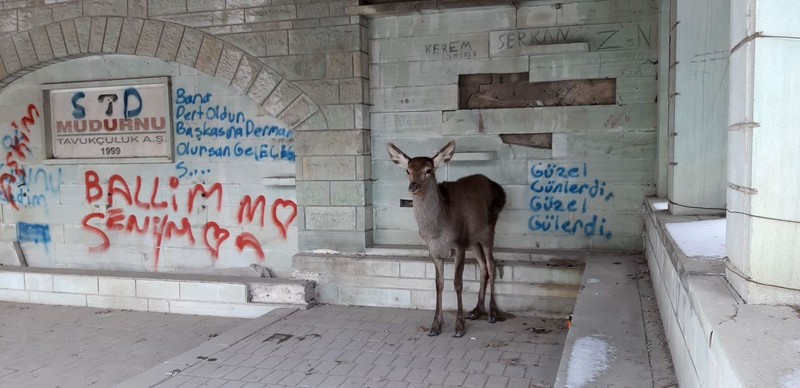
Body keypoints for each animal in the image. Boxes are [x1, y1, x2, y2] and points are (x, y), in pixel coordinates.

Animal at [388, 139, 506, 336]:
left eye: (429, 170)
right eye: (408, 170)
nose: (414, 186)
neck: (437, 232)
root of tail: (500, 189)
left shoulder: (459, 245)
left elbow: (457, 283)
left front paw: (459, 326)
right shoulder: (435, 251)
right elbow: (439, 283)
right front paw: (435, 325)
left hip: (488, 231)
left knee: (491, 264)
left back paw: (492, 313)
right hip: (473, 241)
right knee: (483, 266)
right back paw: (476, 310)